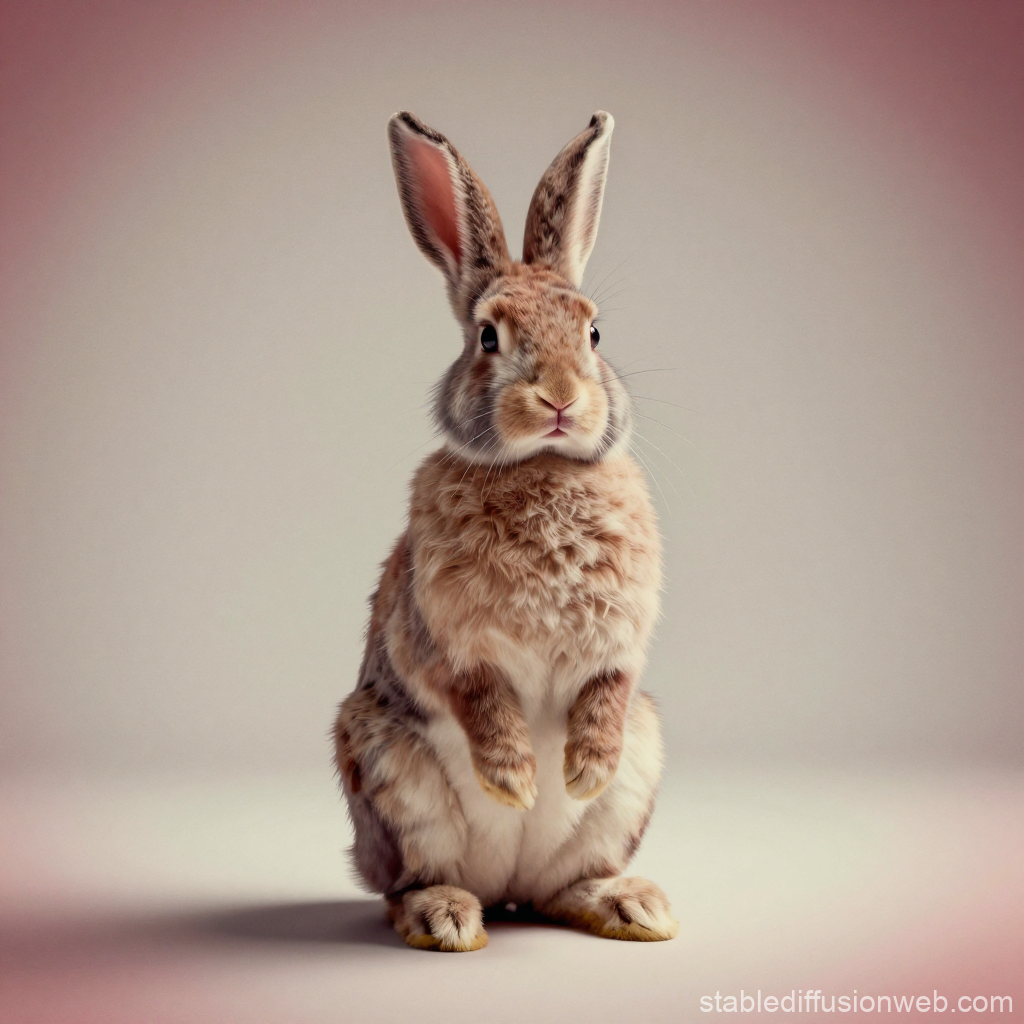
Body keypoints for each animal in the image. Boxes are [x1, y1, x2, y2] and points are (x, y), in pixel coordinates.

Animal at [333, 110, 678, 951]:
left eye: (594, 334)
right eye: (488, 337)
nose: (559, 398)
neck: (544, 468)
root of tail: (508, 892)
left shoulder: (621, 648)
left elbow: (607, 692)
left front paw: (582, 771)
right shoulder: (446, 642)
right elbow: (481, 699)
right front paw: (517, 780)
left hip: (636, 773)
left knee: (564, 886)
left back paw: (629, 905)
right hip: (387, 768)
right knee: (407, 885)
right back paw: (447, 918)